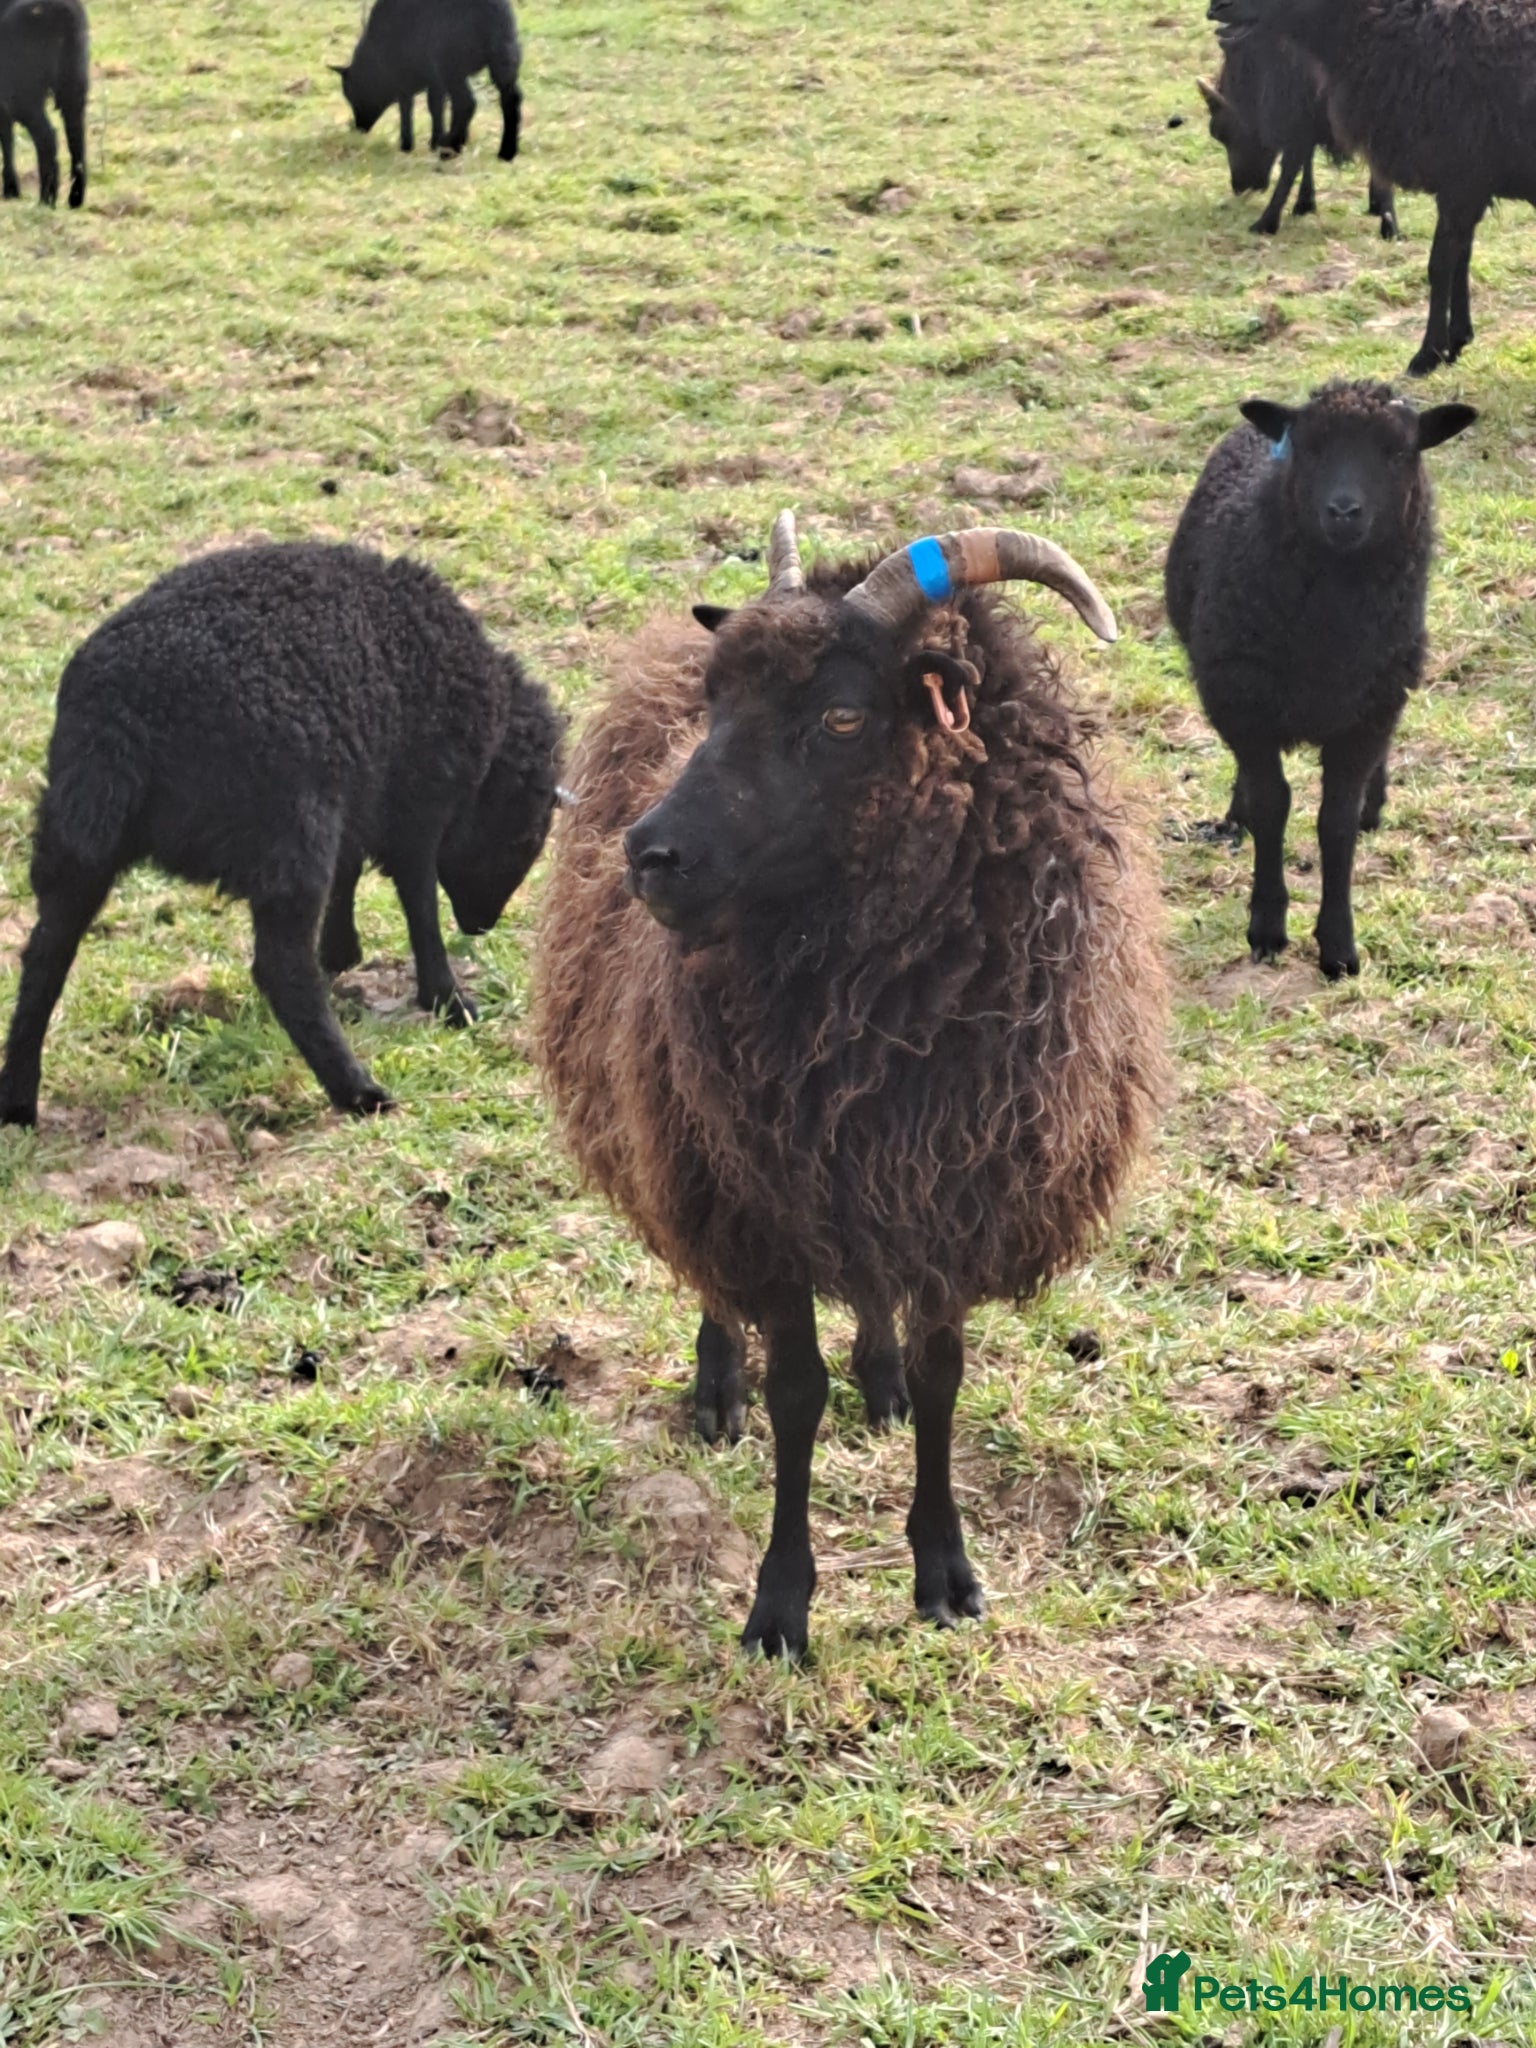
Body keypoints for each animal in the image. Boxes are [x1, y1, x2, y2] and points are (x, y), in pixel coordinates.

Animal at [0, 0, 88, 210]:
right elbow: (6, 138)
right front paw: (11, 191)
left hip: (24, 92)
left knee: (47, 136)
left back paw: (46, 199)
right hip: (74, 84)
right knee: (76, 138)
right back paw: (75, 198)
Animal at [0, 543, 559, 1125]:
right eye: (524, 835)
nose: (480, 926)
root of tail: (122, 714)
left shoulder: (359, 791)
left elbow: (350, 873)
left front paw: (342, 951)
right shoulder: (416, 807)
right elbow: (419, 906)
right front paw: (447, 1000)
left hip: (78, 830)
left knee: (45, 956)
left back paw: (18, 1098)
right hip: (288, 830)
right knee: (281, 969)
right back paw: (358, 1091)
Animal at [332, 0, 521, 162]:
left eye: (353, 96)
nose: (359, 128)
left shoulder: (403, 76)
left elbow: (407, 107)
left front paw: (407, 145)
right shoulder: (434, 79)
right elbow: (436, 107)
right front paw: (435, 141)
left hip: (451, 63)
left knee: (466, 102)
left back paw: (450, 149)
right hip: (504, 56)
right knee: (511, 99)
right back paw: (506, 152)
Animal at [534, 513, 1168, 1658]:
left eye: (841, 714)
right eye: (714, 704)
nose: (648, 854)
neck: (871, 997)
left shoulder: (955, 1187)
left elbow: (941, 1376)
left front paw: (944, 1570)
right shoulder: (760, 1202)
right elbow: (796, 1391)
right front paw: (781, 1604)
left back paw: (876, 1371)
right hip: (690, 1141)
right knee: (710, 1279)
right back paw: (717, 1384)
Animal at [1164, 381, 1475, 980]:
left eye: (1398, 453)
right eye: (1309, 450)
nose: (1344, 511)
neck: (1329, 632)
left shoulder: (1369, 711)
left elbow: (1336, 822)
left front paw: (1338, 947)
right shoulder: (1245, 703)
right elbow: (1272, 805)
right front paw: (1267, 926)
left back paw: (1376, 804)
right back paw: (1235, 816)